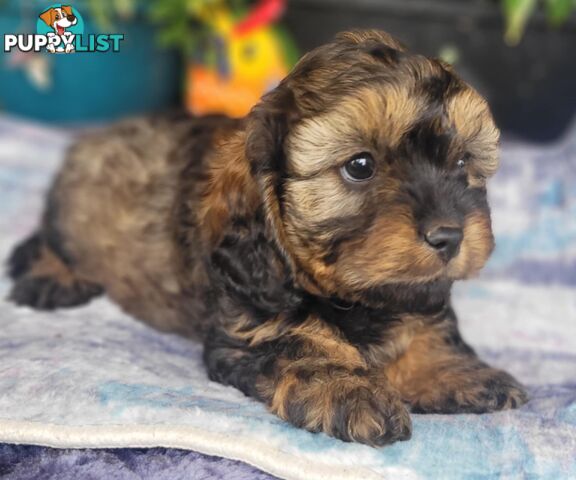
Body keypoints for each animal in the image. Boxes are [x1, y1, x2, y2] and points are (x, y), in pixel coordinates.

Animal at [6, 31, 528, 446]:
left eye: (461, 162)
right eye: (360, 166)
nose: (449, 236)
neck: (352, 300)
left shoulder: (414, 291)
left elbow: (425, 326)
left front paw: (451, 369)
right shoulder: (251, 324)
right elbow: (305, 345)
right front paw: (351, 391)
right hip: (71, 215)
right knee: (46, 238)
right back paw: (51, 276)